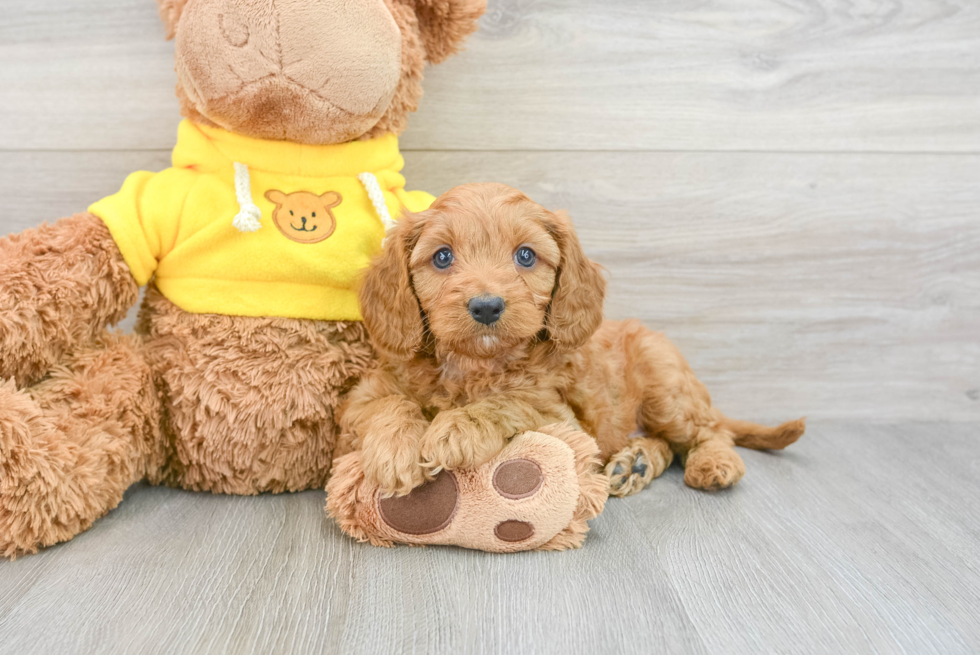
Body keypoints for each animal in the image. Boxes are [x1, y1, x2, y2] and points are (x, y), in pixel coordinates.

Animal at [340, 183, 800, 498]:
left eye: (526, 256)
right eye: (442, 257)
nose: (486, 306)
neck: (475, 366)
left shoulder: (561, 419)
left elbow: (510, 402)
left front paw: (458, 427)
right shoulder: (361, 398)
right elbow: (388, 404)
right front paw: (396, 451)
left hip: (667, 390)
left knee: (708, 432)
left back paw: (714, 463)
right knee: (668, 444)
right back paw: (635, 463)